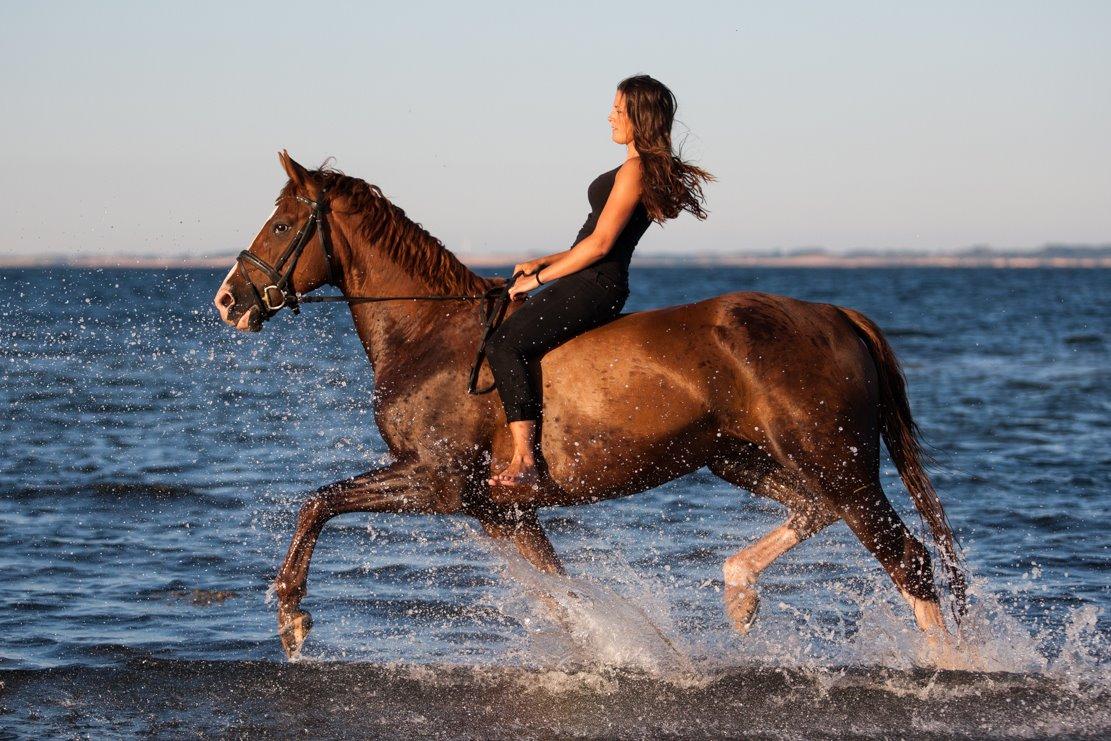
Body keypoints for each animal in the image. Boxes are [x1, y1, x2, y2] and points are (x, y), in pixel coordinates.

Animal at [214, 152, 964, 662]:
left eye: (282, 223)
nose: (228, 300)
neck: (431, 336)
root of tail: (834, 314)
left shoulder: (437, 482)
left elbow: (318, 502)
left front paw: (291, 619)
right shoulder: (498, 511)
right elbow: (564, 596)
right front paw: (633, 650)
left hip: (838, 461)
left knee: (907, 558)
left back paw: (948, 668)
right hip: (741, 456)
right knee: (817, 511)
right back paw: (739, 592)